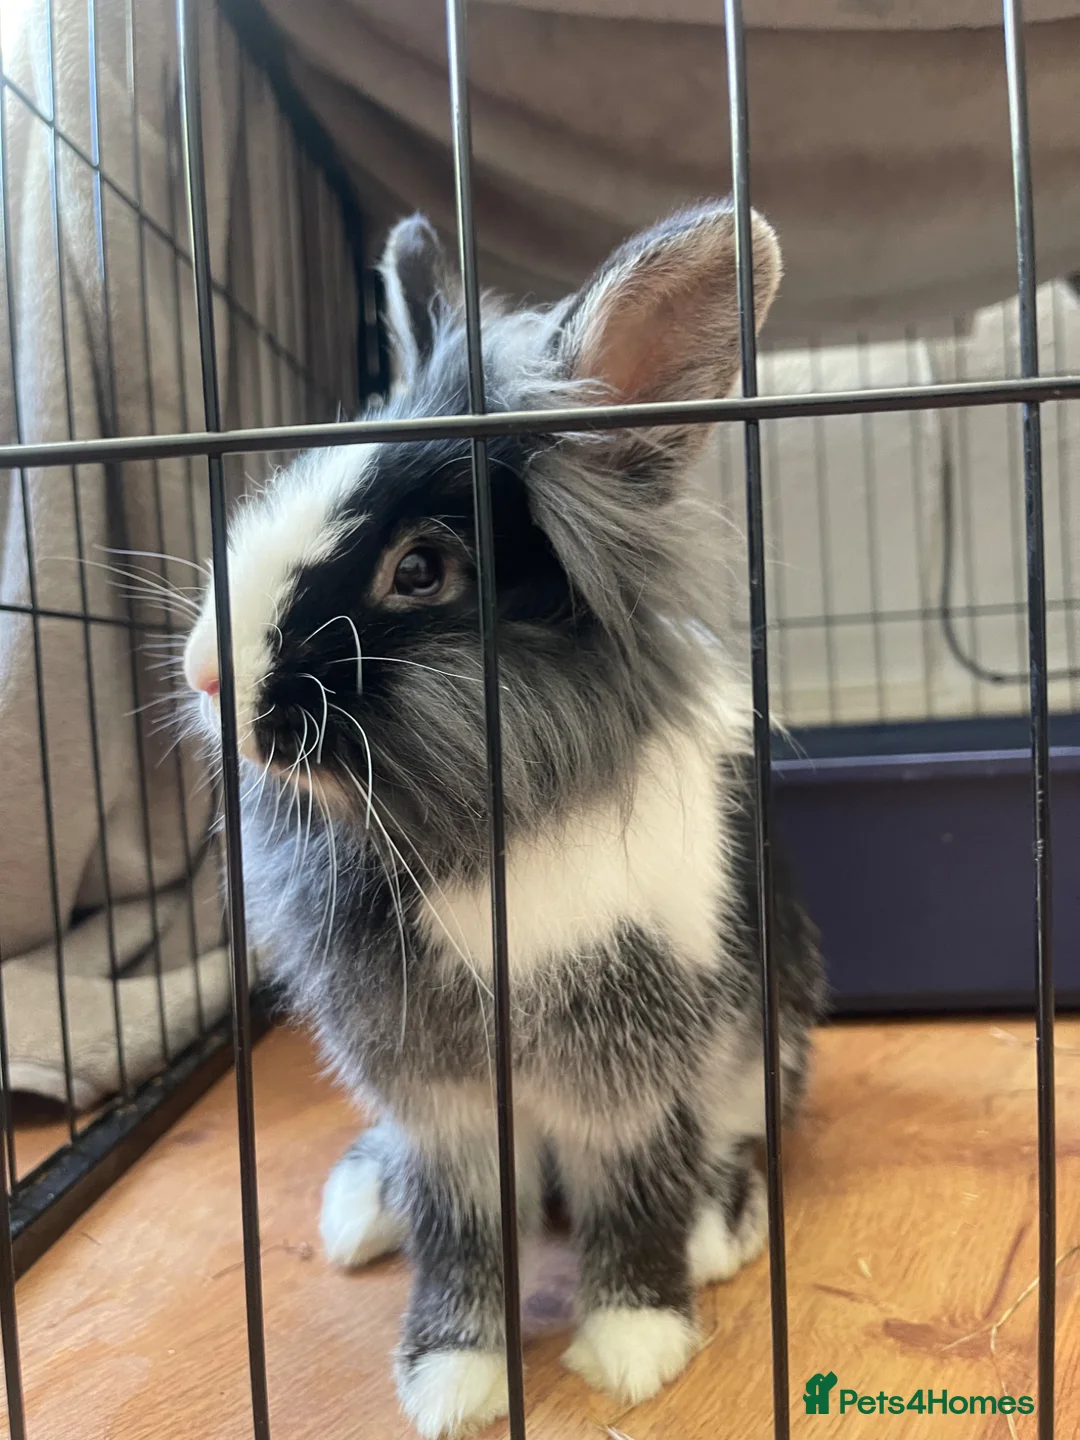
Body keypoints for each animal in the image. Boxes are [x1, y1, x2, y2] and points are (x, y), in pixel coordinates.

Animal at [183, 200, 825, 1439]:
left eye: (422, 571)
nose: (205, 676)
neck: (457, 834)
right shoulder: (438, 1101)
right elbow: (463, 1235)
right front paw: (451, 1382)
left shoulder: (631, 1066)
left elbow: (635, 1191)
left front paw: (633, 1347)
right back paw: (362, 1209)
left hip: (761, 1048)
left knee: (730, 1141)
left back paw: (716, 1233)